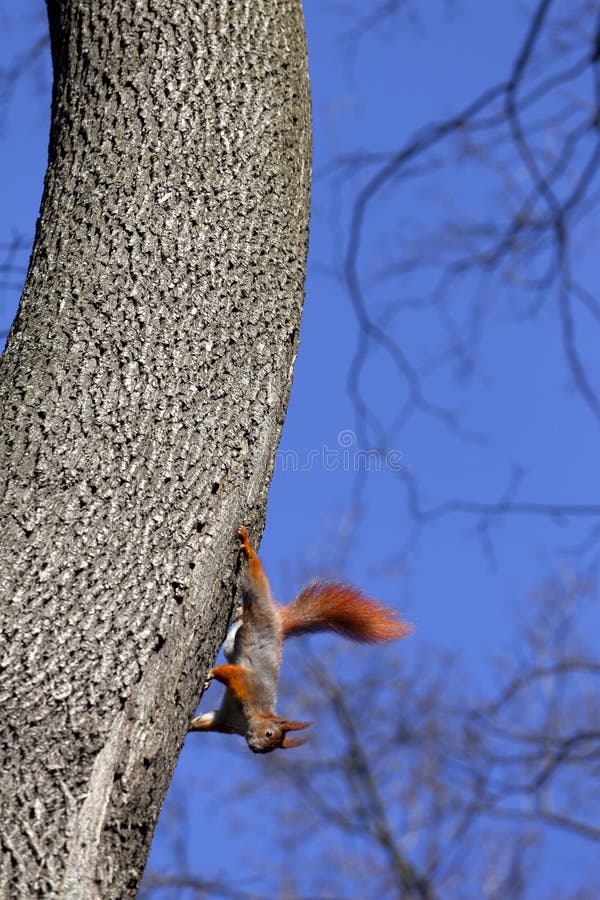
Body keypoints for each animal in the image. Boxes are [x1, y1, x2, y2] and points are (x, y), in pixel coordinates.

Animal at [190, 524, 410, 756]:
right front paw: (211, 673)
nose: (256, 749)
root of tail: (280, 625)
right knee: (256, 579)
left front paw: (192, 725)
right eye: (269, 733)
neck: (251, 717)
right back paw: (248, 549)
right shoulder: (248, 684)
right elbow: (229, 673)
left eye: (270, 749)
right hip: (260, 606)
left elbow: (210, 721)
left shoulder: (227, 719)